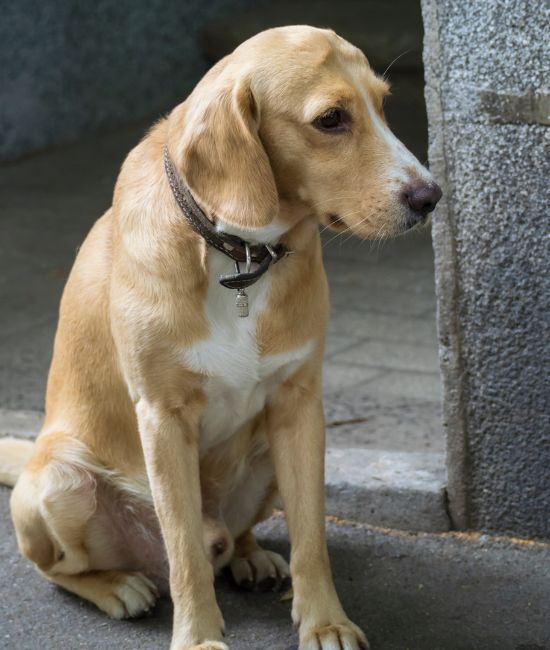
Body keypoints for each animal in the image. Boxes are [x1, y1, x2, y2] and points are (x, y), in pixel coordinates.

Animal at [0, 26, 440, 648]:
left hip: (268, 458)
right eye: (331, 119)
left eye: (382, 104)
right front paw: (198, 637)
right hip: (60, 482)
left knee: (235, 540)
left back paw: (250, 555)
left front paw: (325, 620)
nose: (432, 197)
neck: (239, 255)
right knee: (63, 569)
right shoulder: (163, 419)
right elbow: (183, 551)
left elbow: (311, 538)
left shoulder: (301, 408)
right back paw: (116, 585)